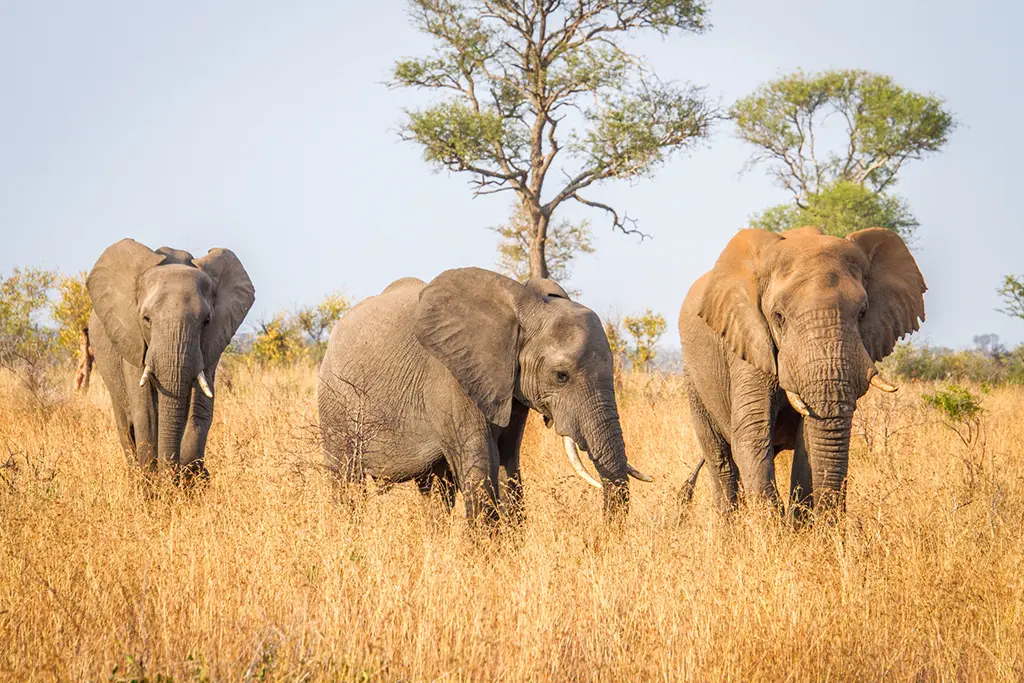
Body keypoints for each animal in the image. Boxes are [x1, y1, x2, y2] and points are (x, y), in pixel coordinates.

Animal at [87, 239, 254, 481]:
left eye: (206, 321)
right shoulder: (132, 339)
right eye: (146, 319)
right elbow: (145, 412)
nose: (170, 475)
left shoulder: (211, 344)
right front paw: (154, 485)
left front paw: (190, 479)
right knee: (125, 426)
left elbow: (199, 409)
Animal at [317, 267, 652, 525]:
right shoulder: (451, 379)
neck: (524, 306)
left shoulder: (510, 388)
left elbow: (508, 464)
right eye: (561, 375)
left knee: (435, 489)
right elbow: (479, 467)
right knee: (346, 479)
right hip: (335, 402)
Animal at [678, 227, 925, 520]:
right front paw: (771, 528)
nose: (832, 520)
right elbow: (752, 432)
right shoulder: (748, 342)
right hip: (694, 375)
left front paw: (800, 525)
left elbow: (807, 442)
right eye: (778, 316)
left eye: (862, 313)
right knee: (721, 459)